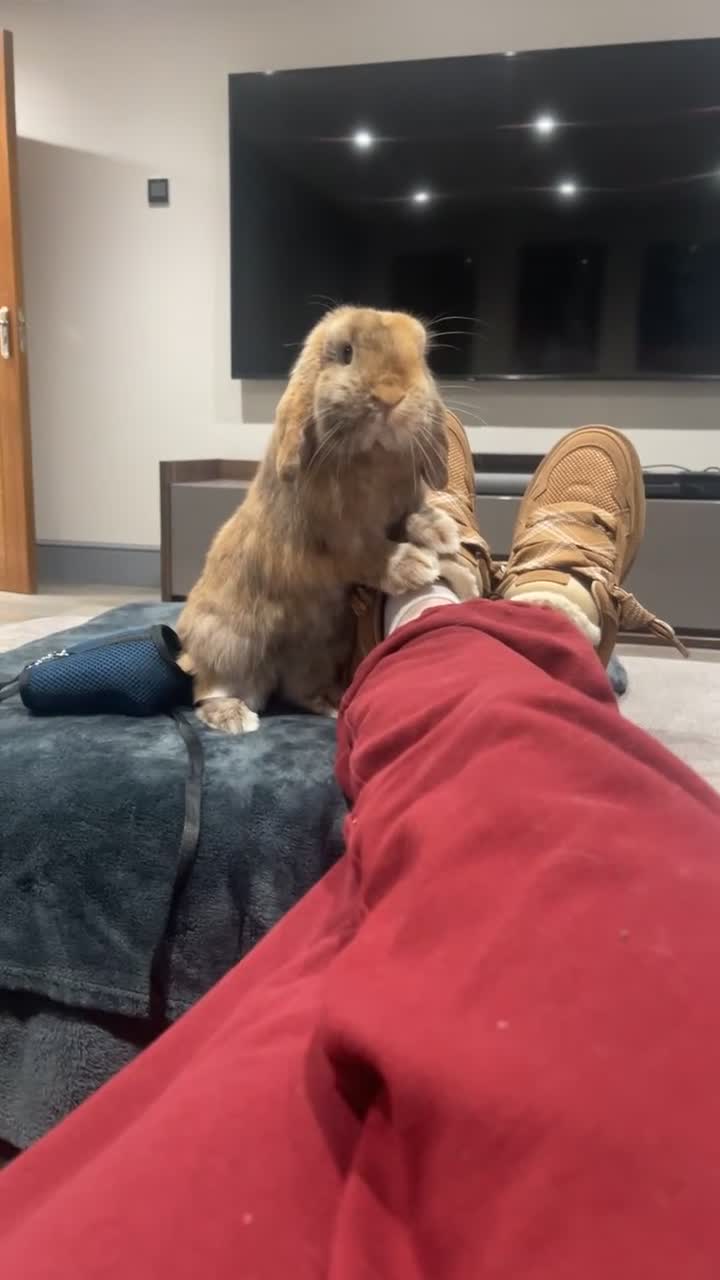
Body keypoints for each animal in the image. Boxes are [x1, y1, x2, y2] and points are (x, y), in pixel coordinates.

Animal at [177, 306, 480, 734]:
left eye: (421, 355)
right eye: (345, 352)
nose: (390, 395)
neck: (372, 456)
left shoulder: (398, 509)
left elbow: (417, 526)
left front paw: (445, 540)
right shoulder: (326, 547)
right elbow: (366, 555)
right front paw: (413, 565)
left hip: (319, 649)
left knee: (298, 689)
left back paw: (331, 701)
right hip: (231, 647)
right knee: (207, 690)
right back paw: (234, 717)